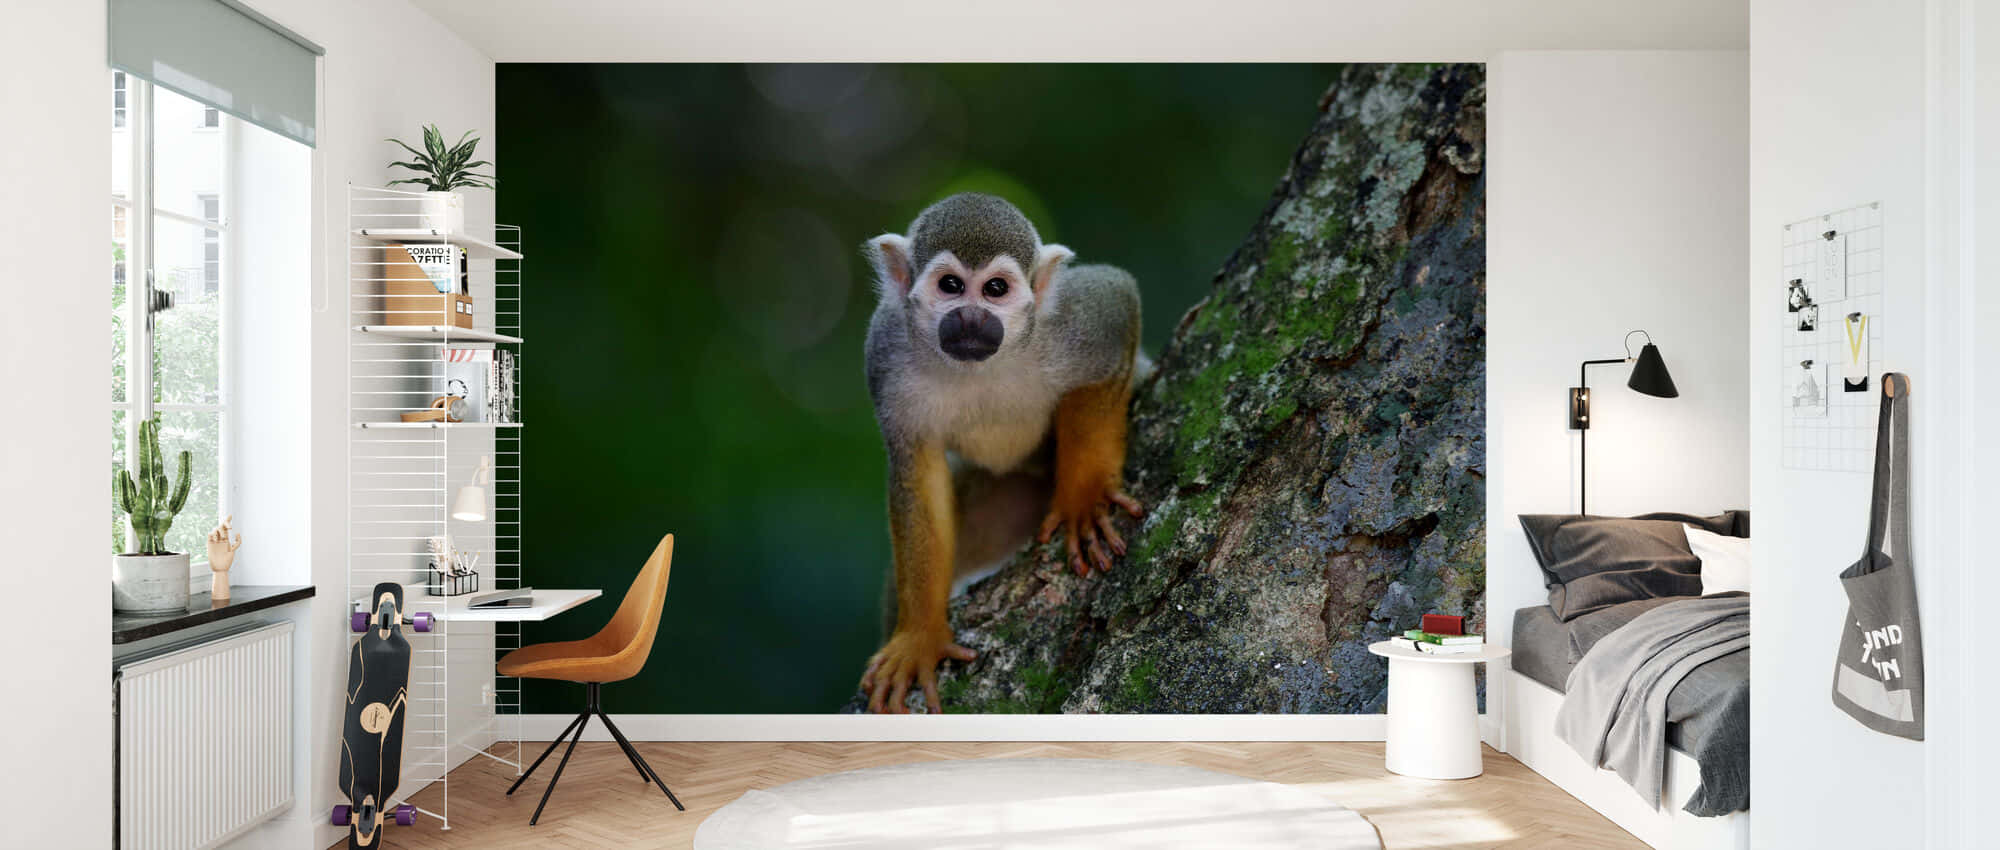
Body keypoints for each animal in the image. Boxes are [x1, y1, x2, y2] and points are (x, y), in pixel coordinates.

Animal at [858, 193, 1146, 714]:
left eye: (995, 289)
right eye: (951, 286)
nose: (972, 319)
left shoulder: (1072, 324)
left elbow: (1118, 299)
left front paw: (1084, 498)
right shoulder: (885, 353)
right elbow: (917, 472)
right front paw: (920, 637)